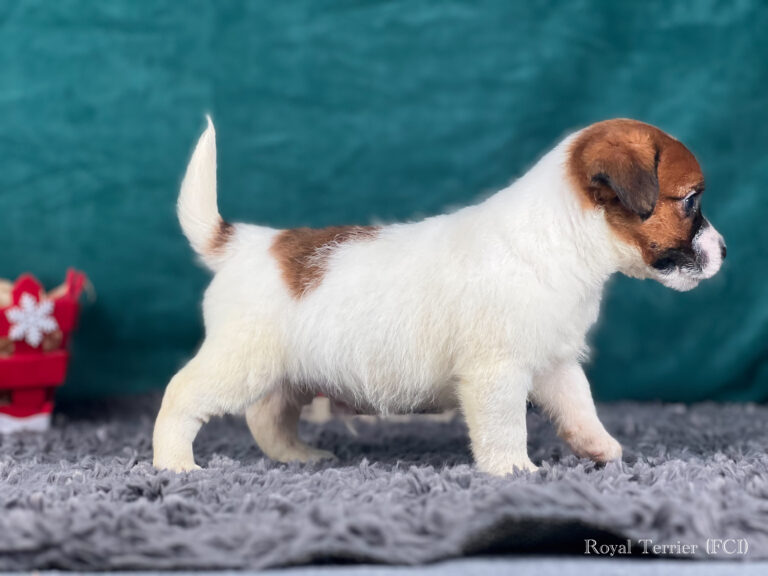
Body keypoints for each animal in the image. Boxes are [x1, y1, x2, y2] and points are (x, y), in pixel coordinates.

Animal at [154, 118, 728, 476]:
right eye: (690, 200)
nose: (725, 249)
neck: (559, 237)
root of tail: (242, 242)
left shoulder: (553, 361)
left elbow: (580, 405)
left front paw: (600, 448)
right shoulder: (497, 372)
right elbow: (505, 425)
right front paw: (514, 469)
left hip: (288, 372)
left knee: (266, 417)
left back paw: (297, 455)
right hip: (239, 361)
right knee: (182, 395)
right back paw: (174, 463)